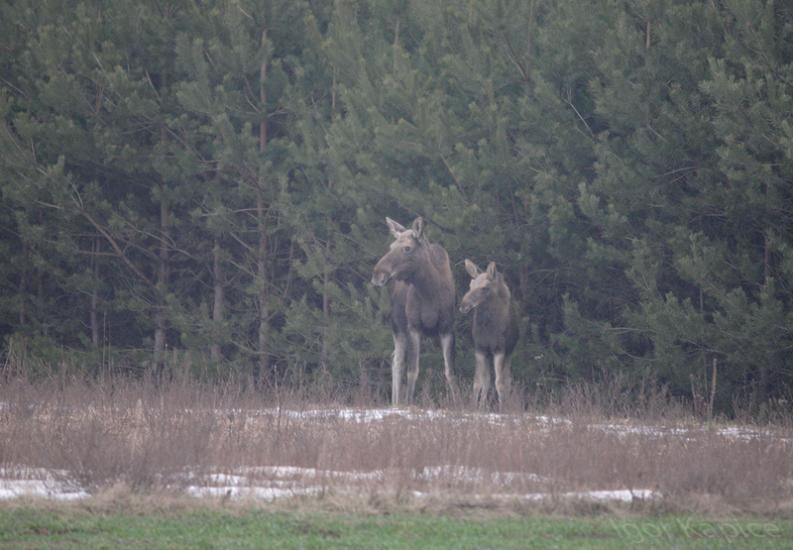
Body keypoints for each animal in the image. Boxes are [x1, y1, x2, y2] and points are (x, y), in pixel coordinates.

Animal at [370, 218, 458, 408]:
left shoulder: (447, 327)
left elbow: (450, 371)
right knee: (396, 360)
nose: (377, 273)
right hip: (397, 324)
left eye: (407, 248)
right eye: (391, 246)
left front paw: (459, 402)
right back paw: (396, 402)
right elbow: (412, 369)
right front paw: (408, 402)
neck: (430, 292)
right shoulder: (413, 326)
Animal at [458, 260, 520, 412]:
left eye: (485, 288)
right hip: (488, 354)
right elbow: (478, 382)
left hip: (509, 352)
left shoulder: (500, 350)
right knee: (487, 380)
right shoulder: (480, 349)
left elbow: (500, 383)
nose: (463, 305)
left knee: (507, 380)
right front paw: (475, 407)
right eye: (470, 285)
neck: (488, 329)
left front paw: (502, 409)